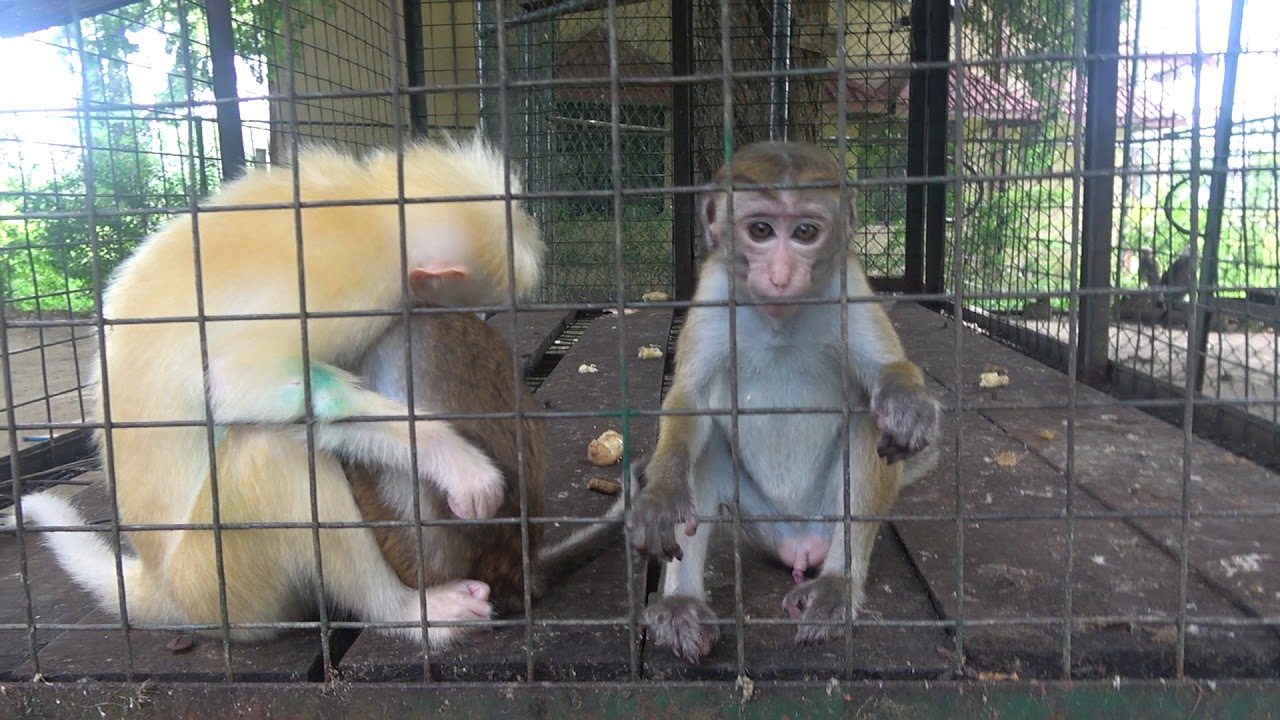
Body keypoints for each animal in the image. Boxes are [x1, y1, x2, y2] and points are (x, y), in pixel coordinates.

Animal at [18, 134, 547, 650]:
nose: (478, 319)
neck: (365, 203)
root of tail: (165, 586)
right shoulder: (353, 287)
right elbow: (237, 385)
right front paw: (454, 460)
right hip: (219, 579)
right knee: (268, 448)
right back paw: (404, 612)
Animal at [624, 141, 941, 664]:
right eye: (760, 230)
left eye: (805, 232)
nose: (780, 276)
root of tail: (801, 542)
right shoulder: (714, 295)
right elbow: (691, 401)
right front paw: (663, 490)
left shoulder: (849, 288)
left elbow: (887, 373)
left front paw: (908, 404)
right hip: (760, 525)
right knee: (707, 448)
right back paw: (682, 605)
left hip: (828, 517)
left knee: (866, 424)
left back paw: (836, 584)